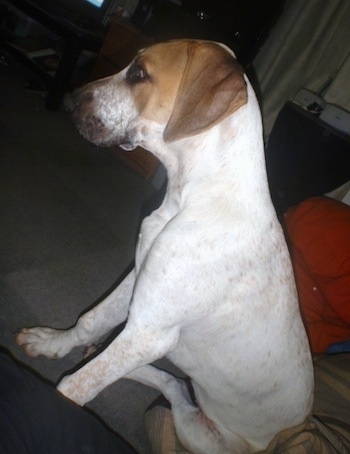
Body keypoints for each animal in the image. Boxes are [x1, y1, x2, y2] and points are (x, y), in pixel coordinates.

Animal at [15, 40, 314, 452]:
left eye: (139, 73)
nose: (68, 100)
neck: (188, 199)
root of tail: (290, 433)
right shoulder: (138, 284)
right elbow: (90, 320)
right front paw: (54, 345)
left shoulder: (150, 330)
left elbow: (78, 384)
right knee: (172, 383)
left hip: (197, 430)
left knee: (174, 394)